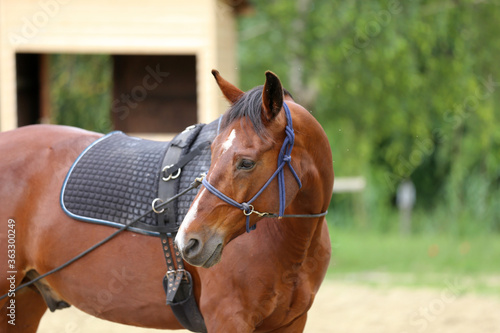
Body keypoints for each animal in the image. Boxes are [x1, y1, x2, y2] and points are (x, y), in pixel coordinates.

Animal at [1, 69, 334, 330]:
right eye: (212, 151)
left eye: (246, 163)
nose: (188, 241)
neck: (291, 243)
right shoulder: (228, 318)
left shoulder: (290, 323)